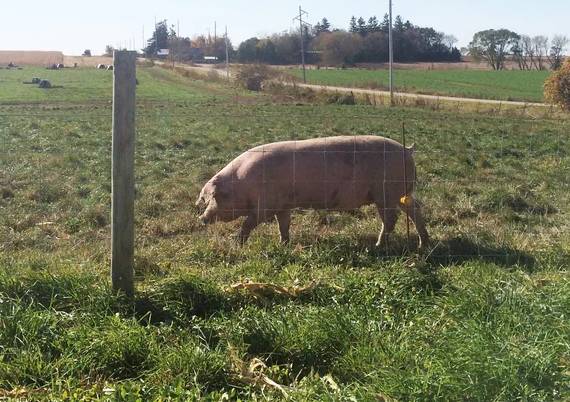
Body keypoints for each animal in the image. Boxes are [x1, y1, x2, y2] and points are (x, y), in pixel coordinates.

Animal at [195, 136, 426, 248]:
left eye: (212, 199)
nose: (202, 219)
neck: (241, 183)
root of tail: (407, 150)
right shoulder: (283, 205)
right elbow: (283, 225)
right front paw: (284, 244)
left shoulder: (266, 205)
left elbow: (248, 223)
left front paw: (237, 244)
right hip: (399, 193)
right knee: (414, 209)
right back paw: (423, 244)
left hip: (385, 193)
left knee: (391, 219)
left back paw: (377, 246)